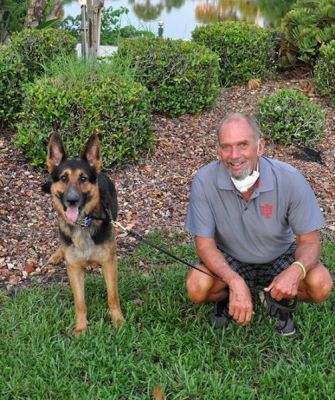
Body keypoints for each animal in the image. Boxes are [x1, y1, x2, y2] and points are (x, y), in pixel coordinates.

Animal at [42, 134, 124, 334]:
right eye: (63, 178)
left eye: (83, 178)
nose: (72, 200)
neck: (82, 224)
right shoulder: (74, 269)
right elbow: (80, 302)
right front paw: (81, 328)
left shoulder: (109, 263)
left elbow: (112, 296)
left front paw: (118, 322)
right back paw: (58, 254)